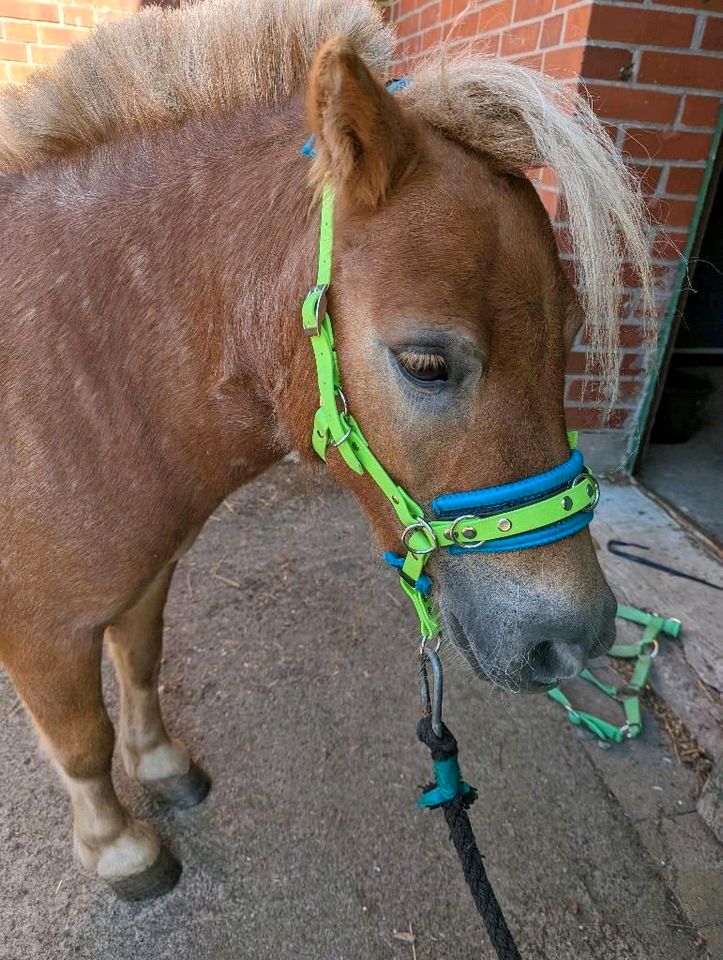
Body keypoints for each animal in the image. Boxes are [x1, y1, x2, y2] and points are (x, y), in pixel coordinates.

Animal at [1, 0, 656, 900]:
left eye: (571, 335)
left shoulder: (146, 578)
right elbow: (81, 739)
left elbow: (139, 667)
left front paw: (162, 767)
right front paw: (119, 848)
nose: (576, 640)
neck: (77, 373)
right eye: (425, 363)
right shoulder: (42, 630)